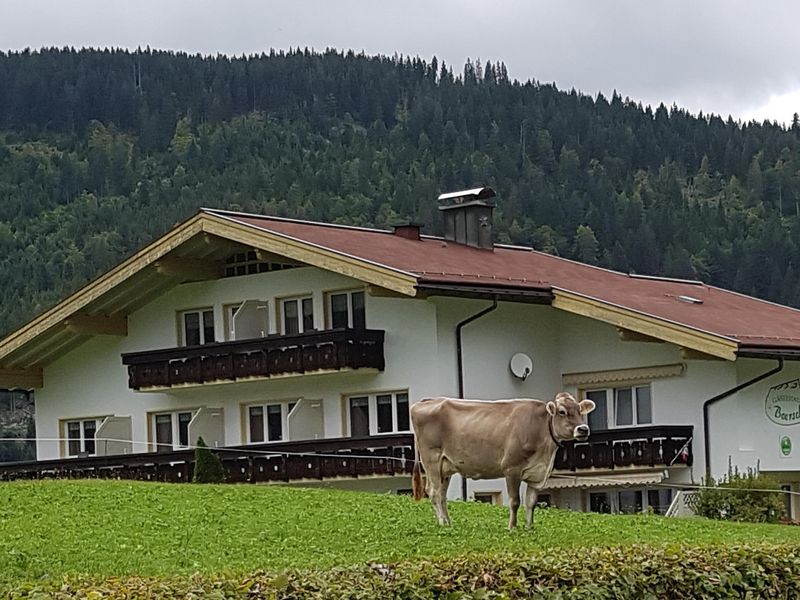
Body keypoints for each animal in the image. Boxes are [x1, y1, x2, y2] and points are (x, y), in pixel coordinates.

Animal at [412, 394, 592, 528]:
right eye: (562, 412)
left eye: (579, 410)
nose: (583, 429)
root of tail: (426, 401)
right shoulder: (512, 469)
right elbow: (515, 501)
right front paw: (512, 527)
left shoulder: (537, 474)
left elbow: (531, 502)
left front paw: (529, 527)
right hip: (432, 460)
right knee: (434, 492)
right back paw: (442, 522)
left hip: (445, 466)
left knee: (442, 494)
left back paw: (448, 522)